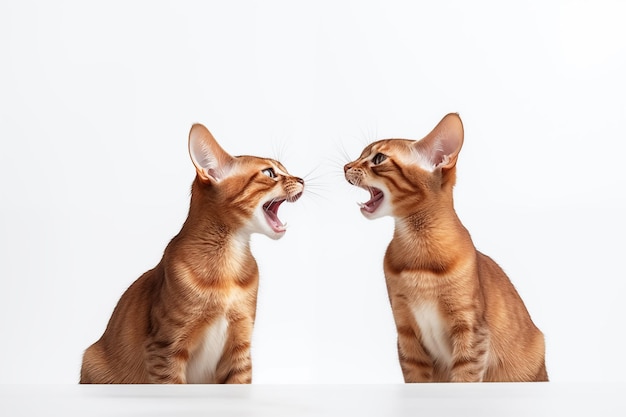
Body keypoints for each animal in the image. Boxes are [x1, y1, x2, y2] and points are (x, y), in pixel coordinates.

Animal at [344, 113, 544, 380]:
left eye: (378, 158)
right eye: (361, 154)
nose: (346, 166)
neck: (418, 253)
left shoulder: (470, 331)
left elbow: (464, 378)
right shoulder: (406, 333)